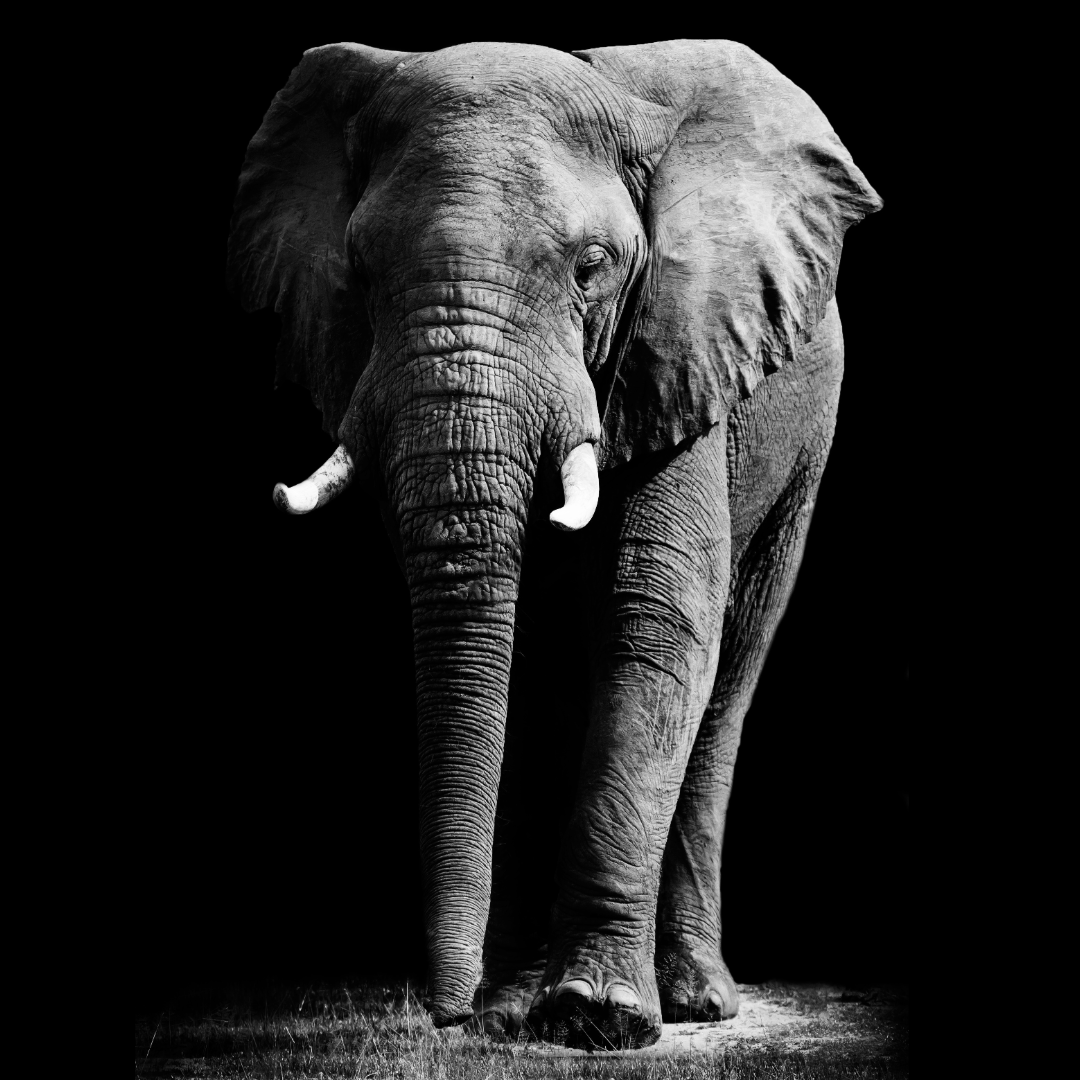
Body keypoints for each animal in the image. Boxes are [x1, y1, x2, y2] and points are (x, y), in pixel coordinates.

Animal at [228, 38, 880, 1050]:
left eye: (592, 266)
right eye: (358, 272)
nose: (447, 1015)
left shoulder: (679, 348)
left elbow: (656, 627)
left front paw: (597, 1017)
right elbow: (522, 655)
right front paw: (515, 1015)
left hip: (808, 441)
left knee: (730, 675)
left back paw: (694, 1001)